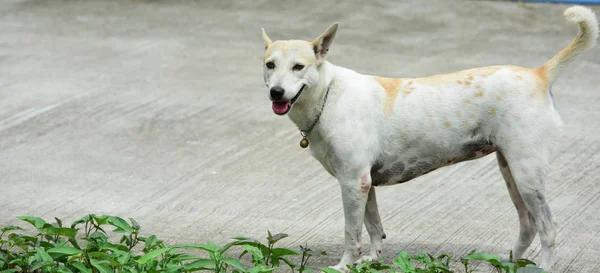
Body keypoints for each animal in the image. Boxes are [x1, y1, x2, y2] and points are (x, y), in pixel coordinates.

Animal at [262, 5, 596, 270]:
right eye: (270, 65)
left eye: (298, 67)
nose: (276, 92)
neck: (327, 95)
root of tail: (539, 73)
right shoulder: (365, 184)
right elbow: (373, 226)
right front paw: (371, 260)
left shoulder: (353, 182)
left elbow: (351, 232)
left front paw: (345, 265)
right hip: (511, 172)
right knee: (528, 225)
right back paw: (508, 260)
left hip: (527, 175)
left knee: (548, 228)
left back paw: (543, 266)